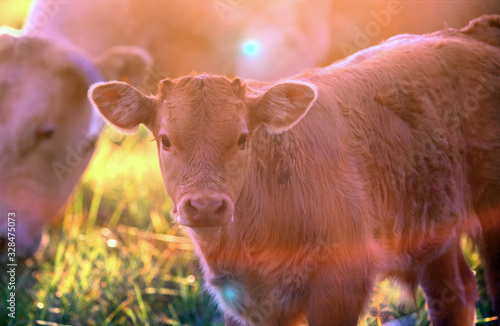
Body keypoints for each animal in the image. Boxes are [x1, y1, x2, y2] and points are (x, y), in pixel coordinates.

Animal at [89, 15, 500, 326]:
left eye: (242, 138)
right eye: (166, 140)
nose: (206, 206)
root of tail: (470, 31)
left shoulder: (342, 285)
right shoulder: (250, 304)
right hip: (434, 227)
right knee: (455, 294)